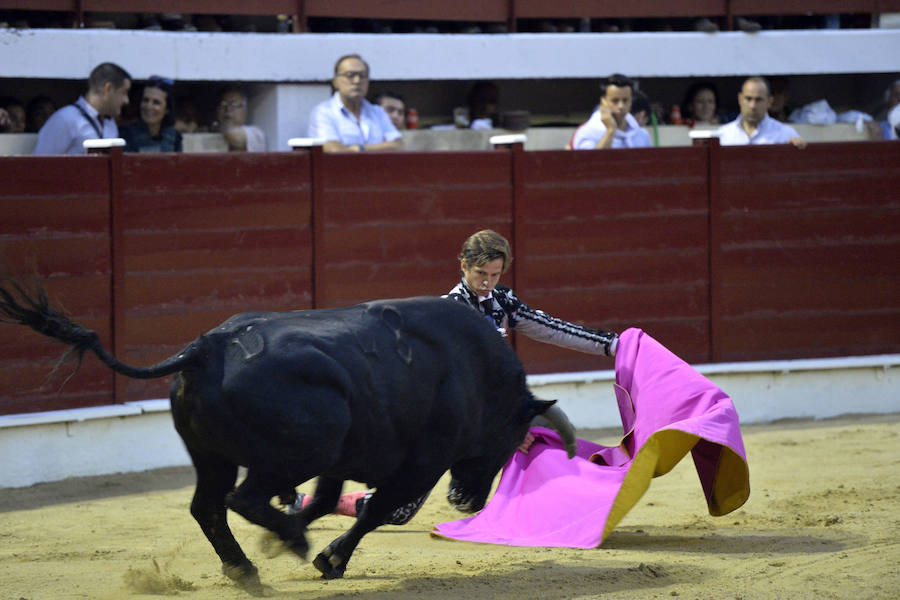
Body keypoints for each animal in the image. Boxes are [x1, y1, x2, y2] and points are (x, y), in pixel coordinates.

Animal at [0, 282, 572, 592]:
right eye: (512, 438)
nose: (466, 500)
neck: (476, 372)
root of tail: (207, 347)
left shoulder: (345, 459)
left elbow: (325, 501)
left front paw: (307, 544)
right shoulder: (419, 465)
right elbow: (374, 511)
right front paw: (326, 557)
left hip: (215, 455)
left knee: (209, 505)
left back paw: (248, 569)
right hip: (300, 450)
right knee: (241, 498)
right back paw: (289, 545)